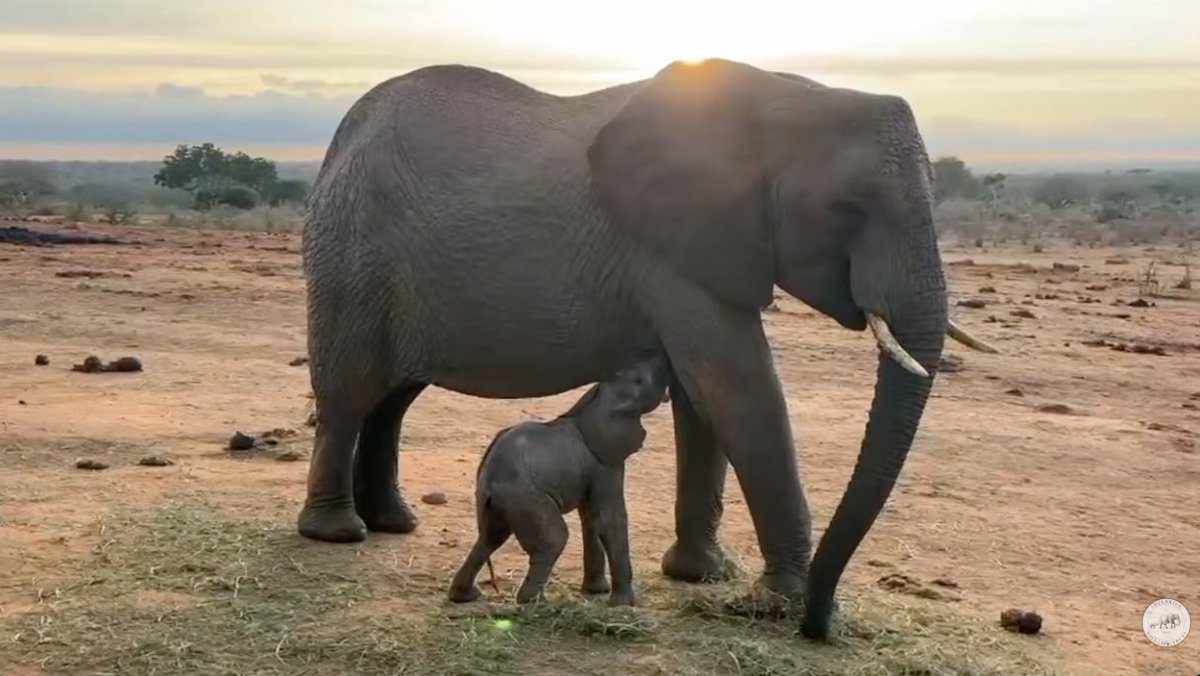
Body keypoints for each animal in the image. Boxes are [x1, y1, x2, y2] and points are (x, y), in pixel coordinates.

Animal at [447, 352, 670, 607]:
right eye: (640, 380)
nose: (664, 360)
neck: (599, 395)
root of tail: (489, 481)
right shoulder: (604, 462)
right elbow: (609, 518)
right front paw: (624, 604)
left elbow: (591, 518)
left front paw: (597, 591)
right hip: (526, 498)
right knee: (553, 539)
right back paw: (536, 602)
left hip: (497, 503)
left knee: (489, 539)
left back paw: (466, 596)